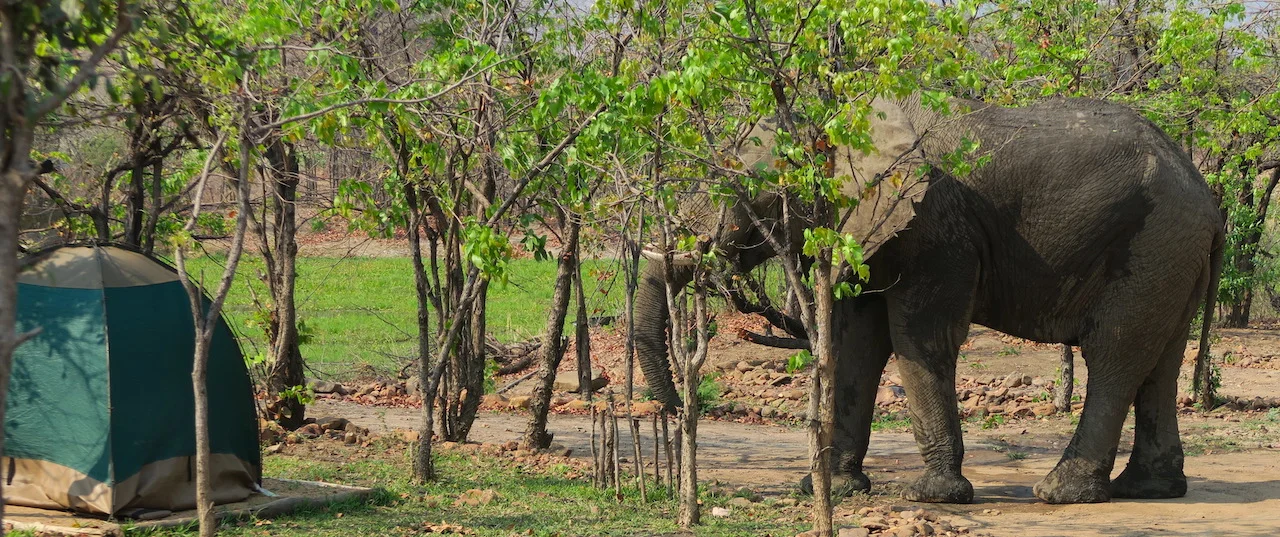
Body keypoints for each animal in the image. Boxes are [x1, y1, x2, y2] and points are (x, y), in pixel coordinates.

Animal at [634, 94, 1225, 504]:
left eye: (745, 194)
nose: (679, 410)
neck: (838, 121)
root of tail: (1205, 192)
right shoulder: (872, 230)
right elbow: (855, 342)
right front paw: (831, 489)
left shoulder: (934, 225)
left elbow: (919, 336)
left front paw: (932, 495)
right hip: (1172, 253)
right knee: (1160, 361)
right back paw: (1149, 489)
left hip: (1155, 243)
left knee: (1114, 354)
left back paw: (1060, 493)